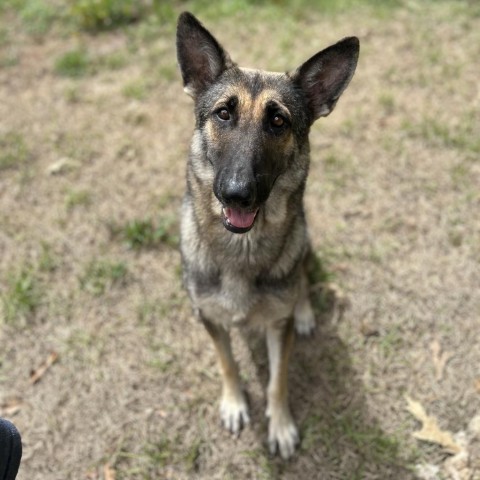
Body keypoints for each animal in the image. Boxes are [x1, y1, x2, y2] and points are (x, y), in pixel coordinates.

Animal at [175, 13, 356, 460]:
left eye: (278, 121)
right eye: (224, 113)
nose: (237, 193)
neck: (241, 250)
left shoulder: (278, 327)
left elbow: (278, 379)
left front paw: (281, 425)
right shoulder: (209, 318)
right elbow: (227, 362)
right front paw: (235, 403)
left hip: (304, 243)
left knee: (302, 278)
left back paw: (304, 311)